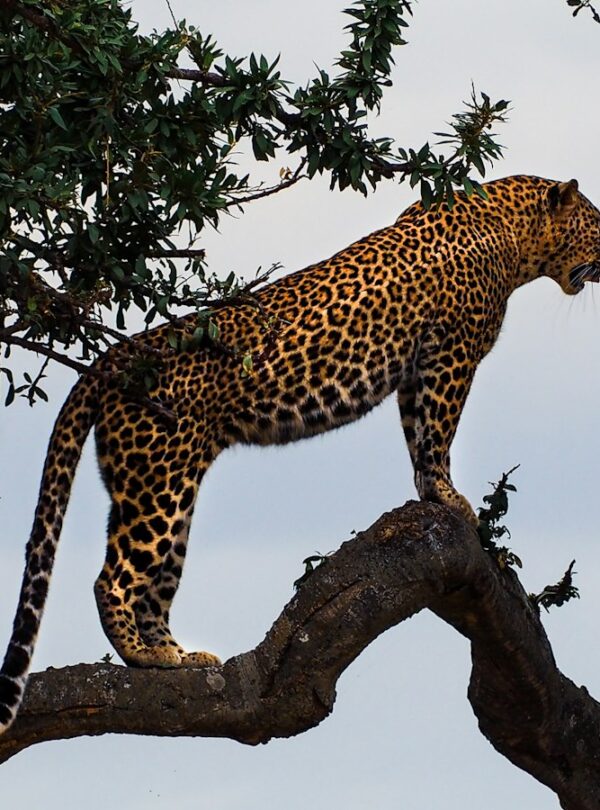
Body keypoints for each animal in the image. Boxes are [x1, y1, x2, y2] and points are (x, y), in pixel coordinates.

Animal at [1, 174, 599, 734]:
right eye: (596, 224)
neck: (515, 234)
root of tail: (116, 357)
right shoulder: (450, 355)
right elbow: (438, 431)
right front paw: (450, 497)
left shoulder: (415, 370)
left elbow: (417, 433)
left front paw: (431, 492)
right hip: (160, 485)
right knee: (114, 578)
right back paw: (147, 657)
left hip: (161, 487)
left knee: (154, 582)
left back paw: (177, 657)